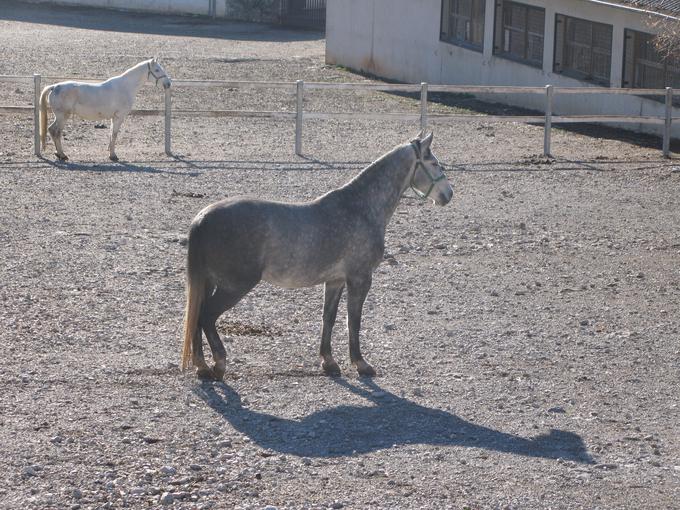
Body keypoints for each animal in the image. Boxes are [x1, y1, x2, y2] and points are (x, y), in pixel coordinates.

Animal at [38, 59, 170, 161]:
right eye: (157, 70)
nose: (168, 84)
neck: (125, 87)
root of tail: (54, 87)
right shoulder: (119, 117)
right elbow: (115, 134)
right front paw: (113, 156)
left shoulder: (114, 117)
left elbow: (111, 134)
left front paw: (110, 152)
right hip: (62, 116)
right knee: (55, 132)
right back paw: (62, 155)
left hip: (61, 116)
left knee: (53, 131)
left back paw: (59, 154)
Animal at [183, 133, 454, 380]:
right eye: (434, 163)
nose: (448, 194)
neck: (360, 208)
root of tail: (202, 218)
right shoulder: (360, 279)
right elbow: (353, 320)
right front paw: (361, 364)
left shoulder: (335, 280)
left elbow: (329, 318)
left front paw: (329, 362)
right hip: (235, 286)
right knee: (207, 316)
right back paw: (219, 364)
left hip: (210, 282)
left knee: (197, 317)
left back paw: (202, 367)